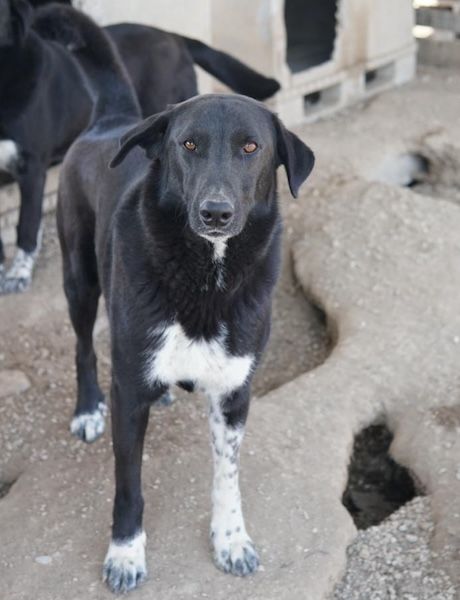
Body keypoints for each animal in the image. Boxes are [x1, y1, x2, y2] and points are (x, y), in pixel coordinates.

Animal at [52, 6, 314, 593]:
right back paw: (87, 408)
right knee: (84, 346)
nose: (215, 213)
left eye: (251, 147)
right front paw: (126, 553)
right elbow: (128, 486)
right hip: (78, 277)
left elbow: (227, 476)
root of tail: (112, 120)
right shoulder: (129, 399)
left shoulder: (235, 393)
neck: (206, 277)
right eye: (188, 145)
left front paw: (232, 540)